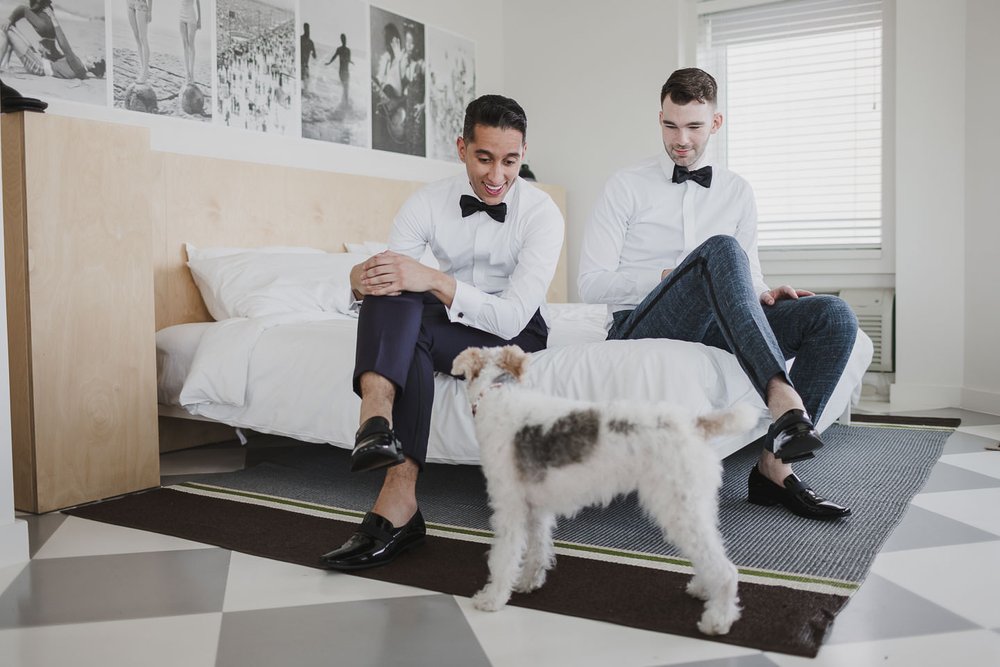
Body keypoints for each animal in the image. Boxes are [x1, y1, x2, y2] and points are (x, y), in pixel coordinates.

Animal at [450, 348, 752, 636]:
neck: (498, 393)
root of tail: (696, 424)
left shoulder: (508, 508)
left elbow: (502, 558)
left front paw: (491, 599)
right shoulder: (536, 508)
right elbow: (536, 550)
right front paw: (528, 582)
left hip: (678, 508)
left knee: (725, 570)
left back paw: (717, 620)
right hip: (696, 505)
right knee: (711, 553)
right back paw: (702, 588)